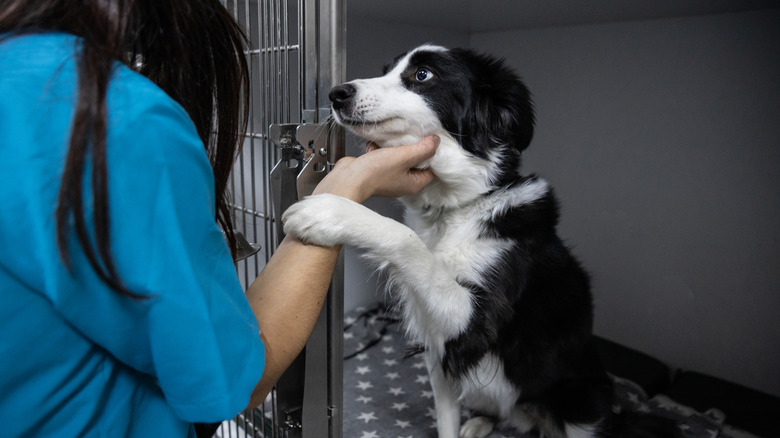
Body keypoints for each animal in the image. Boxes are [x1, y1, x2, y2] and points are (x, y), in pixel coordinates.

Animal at [280, 44, 676, 438]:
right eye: (385, 71)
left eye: (422, 75)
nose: (336, 94)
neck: (454, 206)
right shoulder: (438, 346)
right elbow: (446, 419)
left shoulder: (475, 324)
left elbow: (407, 240)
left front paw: (329, 212)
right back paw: (481, 422)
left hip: (580, 401)